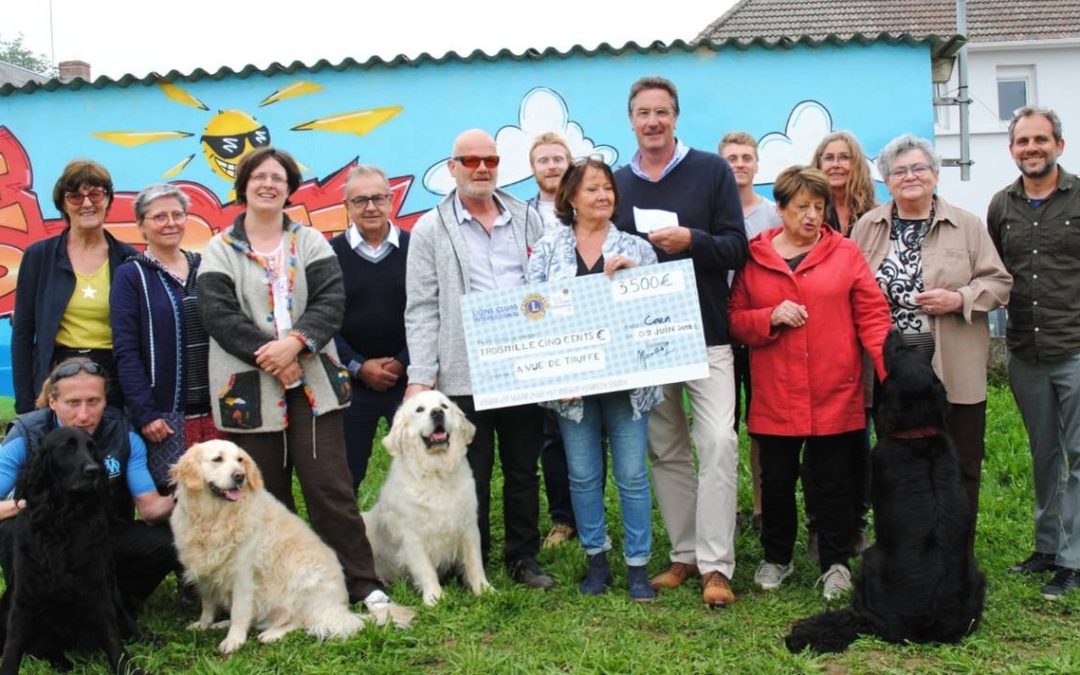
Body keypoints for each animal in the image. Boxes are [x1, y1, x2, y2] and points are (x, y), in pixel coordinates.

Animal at [1, 429, 144, 669]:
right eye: (67, 447)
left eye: (93, 449)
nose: (94, 471)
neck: (63, 522)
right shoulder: (24, 594)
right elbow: (13, 644)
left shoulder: (98, 590)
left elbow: (114, 641)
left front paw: (129, 668)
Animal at [169, 440, 367, 652]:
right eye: (217, 459)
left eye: (239, 460)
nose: (240, 476)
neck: (214, 517)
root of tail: (339, 606)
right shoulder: (206, 571)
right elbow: (207, 602)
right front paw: (203, 623)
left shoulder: (243, 575)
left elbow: (239, 612)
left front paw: (234, 640)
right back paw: (222, 624)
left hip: (305, 582)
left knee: (300, 621)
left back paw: (271, 634)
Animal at [367, 388, 494, 604]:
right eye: (420, 410)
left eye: (444, 406)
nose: (437, 413)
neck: (437, 474)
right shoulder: (412, 535)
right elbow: (425, 569)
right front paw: (435, 598)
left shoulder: (468, 525)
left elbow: (474, 561)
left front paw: (484, 590)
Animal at [786, 332, 989, 652]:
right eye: (906, 349)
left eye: (897, 353)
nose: (893, 332)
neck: (918, 435)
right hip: (977, 577)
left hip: (871, 560)